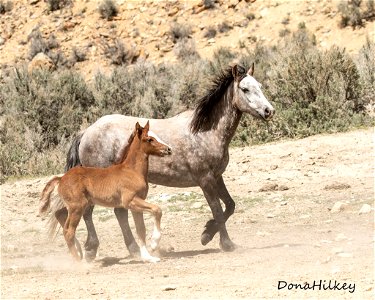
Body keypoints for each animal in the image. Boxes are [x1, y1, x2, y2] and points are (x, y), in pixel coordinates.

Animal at [39, 122, 172, 262]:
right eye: (150, 139)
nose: (168, 149)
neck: (132, 171)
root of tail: (61, 178)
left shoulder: (137, 204)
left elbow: (141, 229)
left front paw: (148, 257)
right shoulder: (130, 201)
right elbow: (157, 210)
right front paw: (154, 244)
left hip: (75, 205)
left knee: (60, 216)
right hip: (77, 207)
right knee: (68, 231)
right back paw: (79, 261)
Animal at [53, 63, 274, 260]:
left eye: (260, 86)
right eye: (245, 89)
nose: (268, 111)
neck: (205, 132)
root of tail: (86, 132)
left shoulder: (217, 177)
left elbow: (230, 205)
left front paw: (207, 233)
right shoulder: (206, 180)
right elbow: (218, 209)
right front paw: (223, 243)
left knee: (118, 213)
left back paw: (133, 249)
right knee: (90, 213)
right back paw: (92, 249)